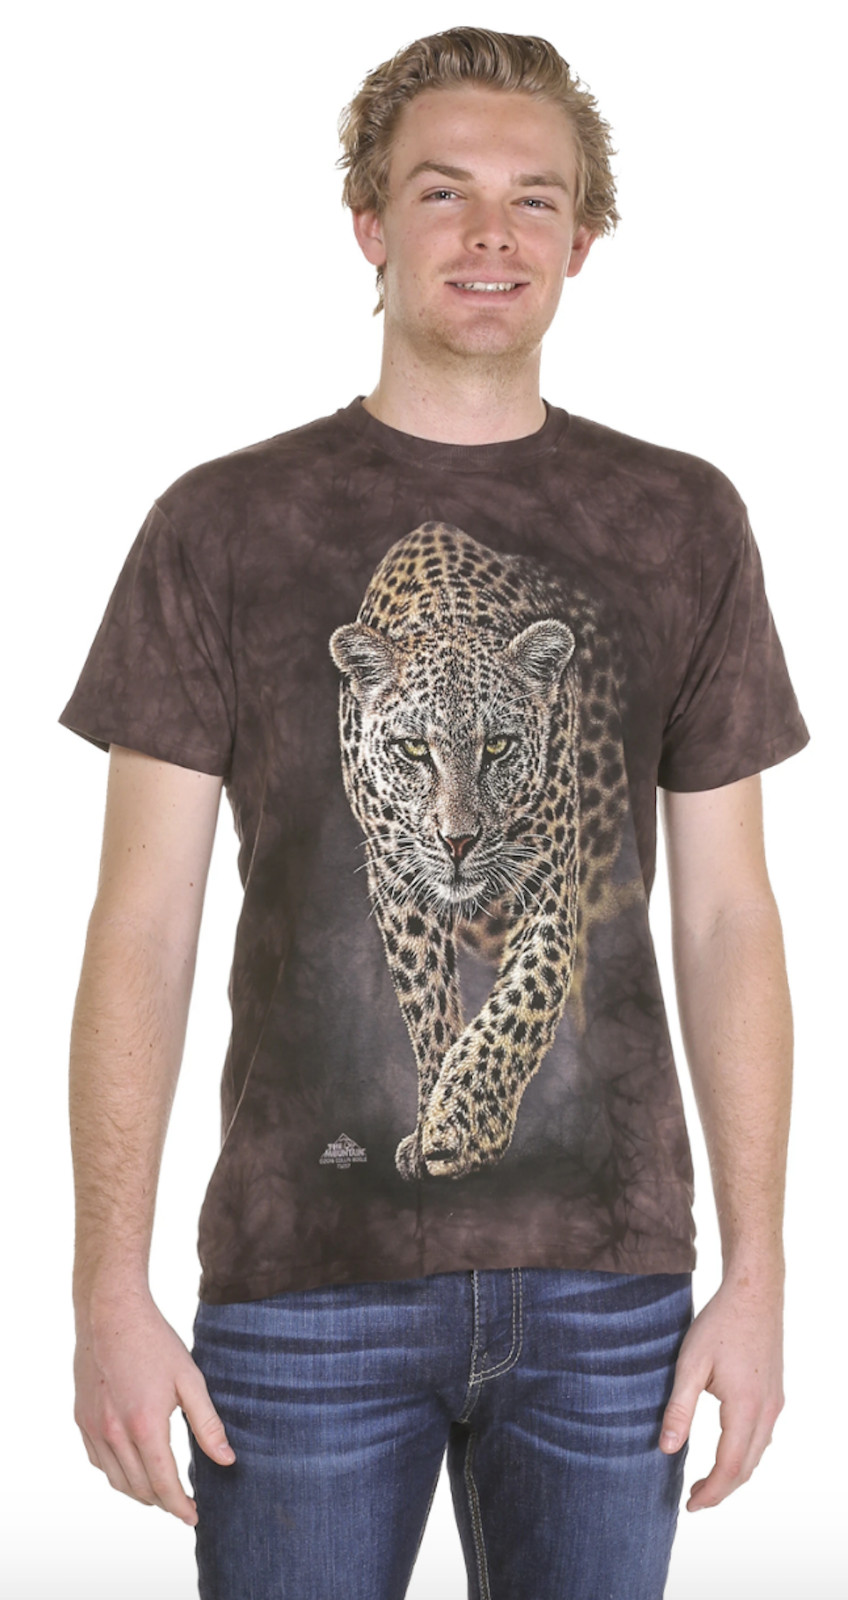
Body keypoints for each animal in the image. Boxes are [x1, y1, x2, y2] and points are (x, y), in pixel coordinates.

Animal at [329, 522, 631, 1182]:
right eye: (414, 749)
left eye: (497, 746)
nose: (457, 840)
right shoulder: (396, 883)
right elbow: (425, 1001)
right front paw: (430, 1125)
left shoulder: (549, 886)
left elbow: (525, 1000)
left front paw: (466, 1122)